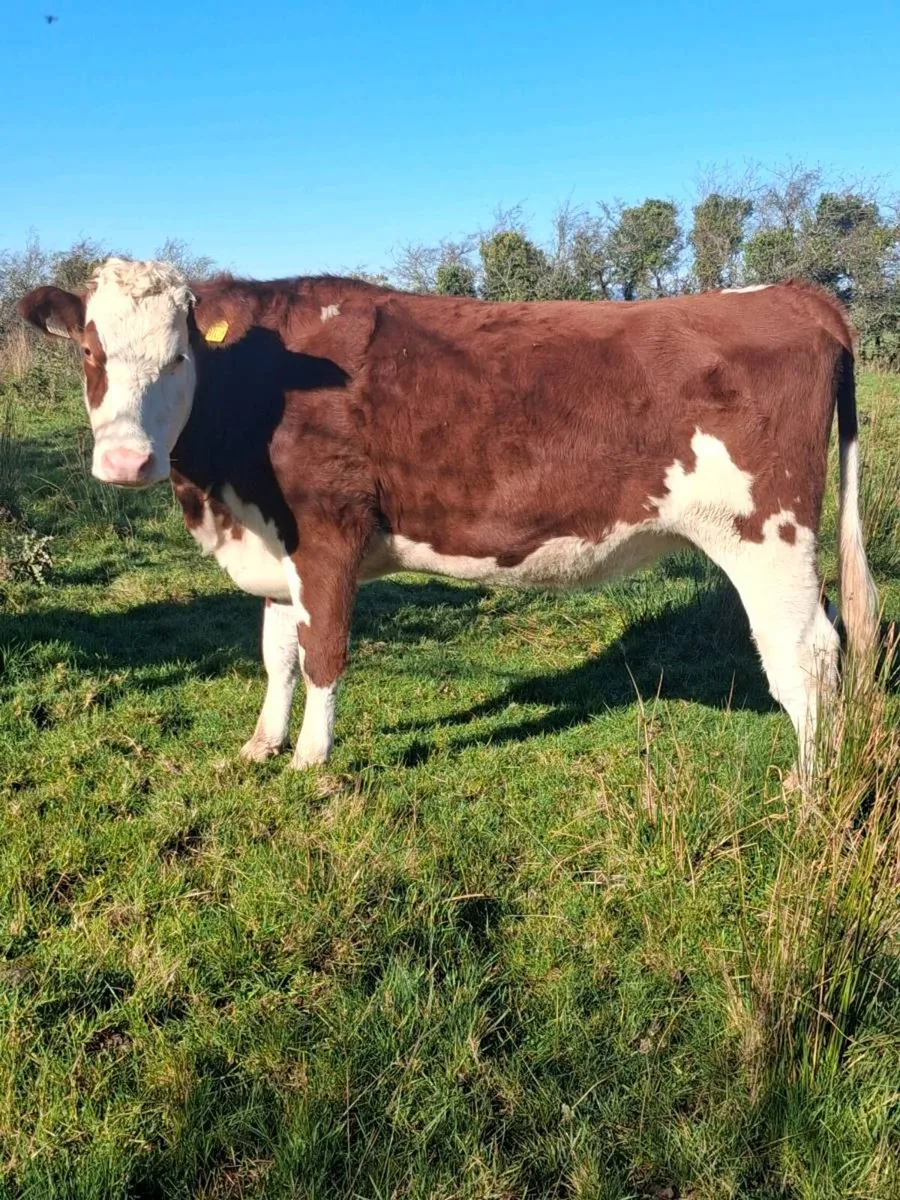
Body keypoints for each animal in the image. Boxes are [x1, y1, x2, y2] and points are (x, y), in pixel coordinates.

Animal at [18, 259, 878, 779]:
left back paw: (808, 790)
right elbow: (277, 654)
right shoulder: (274, 540)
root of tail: (793, 293)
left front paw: (312, 762)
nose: (125, 461)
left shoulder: (327, 532)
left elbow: (322, 653)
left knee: (807, 655)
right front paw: (261, 744)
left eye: (179, 357)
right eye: (91, 353)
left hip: (766, 533)